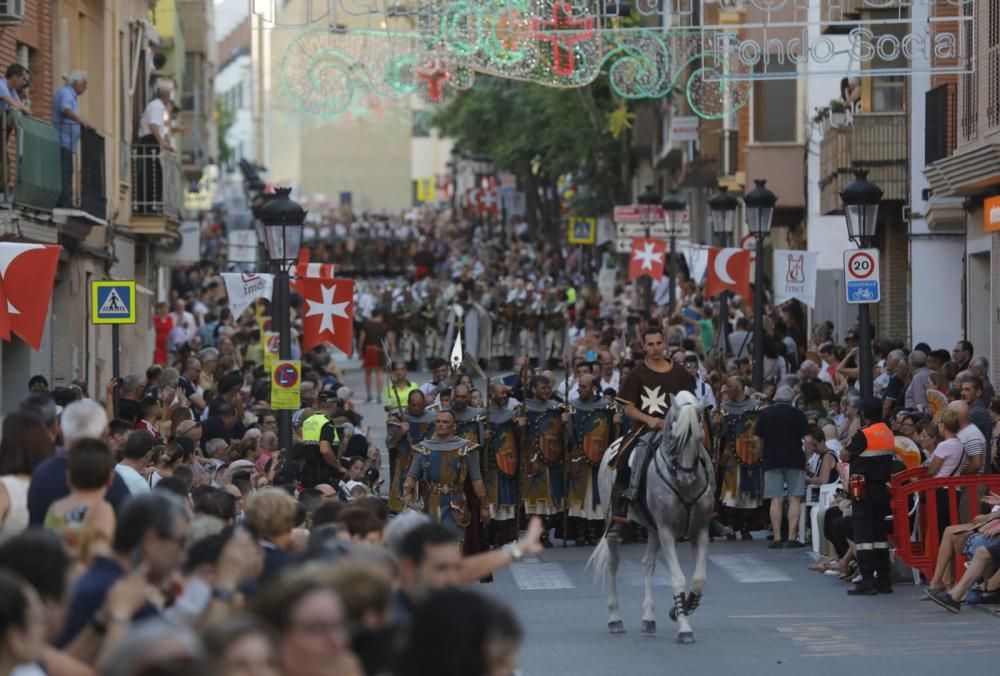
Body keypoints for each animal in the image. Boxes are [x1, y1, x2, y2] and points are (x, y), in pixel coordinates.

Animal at [584, 390, 716, 644]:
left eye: (698, 437)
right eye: (675, 438)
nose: (686, 478)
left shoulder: (700, 530)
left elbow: (699, 580)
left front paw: (680, 611)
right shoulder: (667, 531)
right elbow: (677, 578)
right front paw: (684, 627)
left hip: (653, 529)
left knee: (647, 565)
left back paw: (648, 618)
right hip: (616, 522)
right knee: (613, 564)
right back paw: (615, 618)